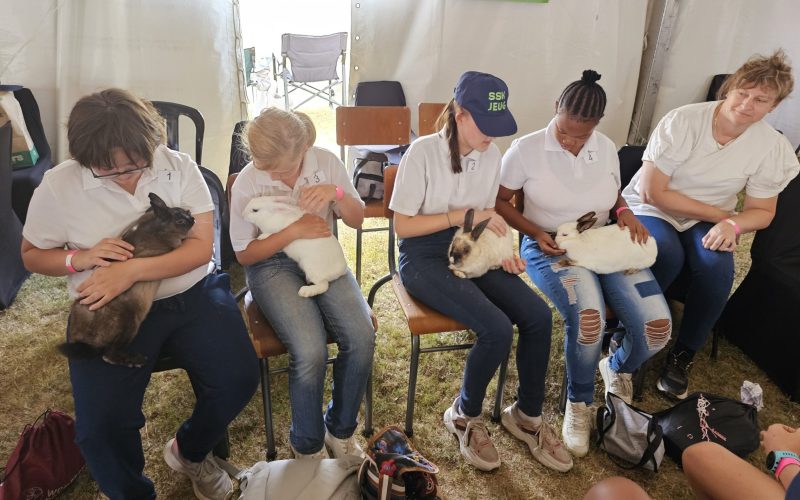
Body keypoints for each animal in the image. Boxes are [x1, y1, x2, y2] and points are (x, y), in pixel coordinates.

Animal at [58, 191, 195, 368]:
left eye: (187, 211)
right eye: (180, 221)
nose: (193, 219)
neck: (156, 226)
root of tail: (88, 343)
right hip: (130, 324)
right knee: (109, 355)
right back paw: (136, 360)